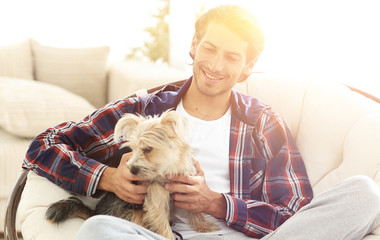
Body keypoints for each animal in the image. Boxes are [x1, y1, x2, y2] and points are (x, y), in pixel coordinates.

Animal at [46, 110, 220, 240]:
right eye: (133, 149)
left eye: (147, 149)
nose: (132, 170)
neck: (167, 170)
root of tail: (95, 213)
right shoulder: (155, 203)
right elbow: (163, 225)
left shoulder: (189, 188)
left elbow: (195, 210)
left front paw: (203, 226)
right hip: (134, 214)